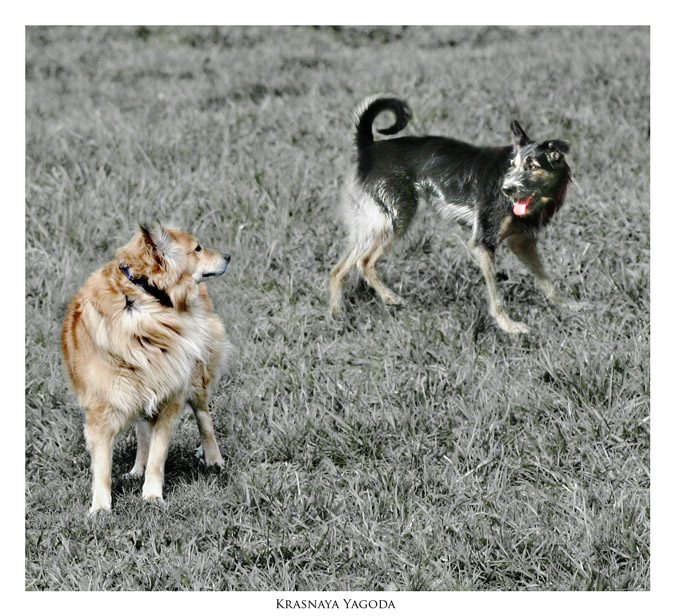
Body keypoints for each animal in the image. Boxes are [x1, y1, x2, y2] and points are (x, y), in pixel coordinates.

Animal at [330, 98, 580, 334]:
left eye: (533, 166)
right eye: (514, 164)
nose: (506, 189)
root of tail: (368, 148)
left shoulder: (522, 243)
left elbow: (546, 279)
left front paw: (566, 305)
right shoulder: (483, 243)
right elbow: (496, 298)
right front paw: (509, 327)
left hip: (372, 226)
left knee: (338, 270)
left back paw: (337, 317)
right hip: (396, 220)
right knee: (364, 262)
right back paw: (391, 299)